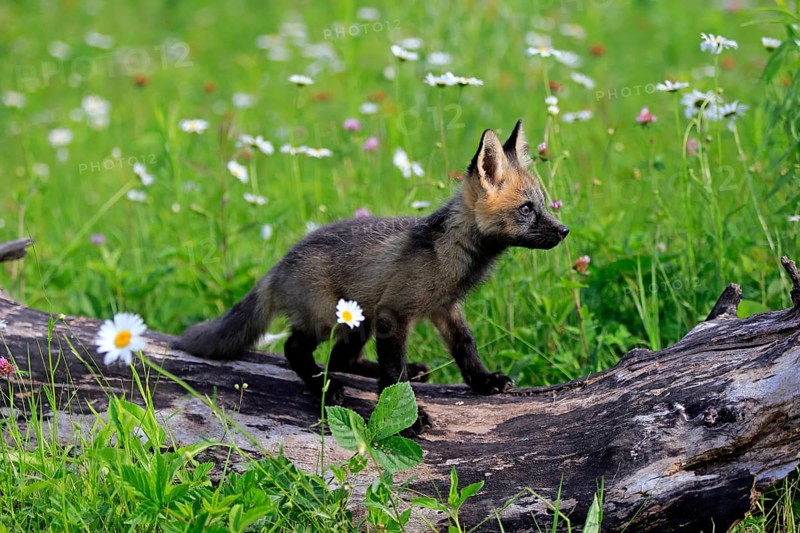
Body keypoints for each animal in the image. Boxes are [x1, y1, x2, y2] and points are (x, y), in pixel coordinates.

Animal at [174, 119, 569, 434]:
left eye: (543, 205)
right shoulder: (393, 315)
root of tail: (280, 263)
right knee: (295, 349)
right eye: (526, 210)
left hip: (357, 325)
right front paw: (410, 419)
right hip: (329, 320)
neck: (449, 255)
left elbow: (464, 347)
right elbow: (392, 375)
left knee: (341, 359)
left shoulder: (445, 308)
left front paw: (484, 381)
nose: (564, 231)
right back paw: (324, 386)